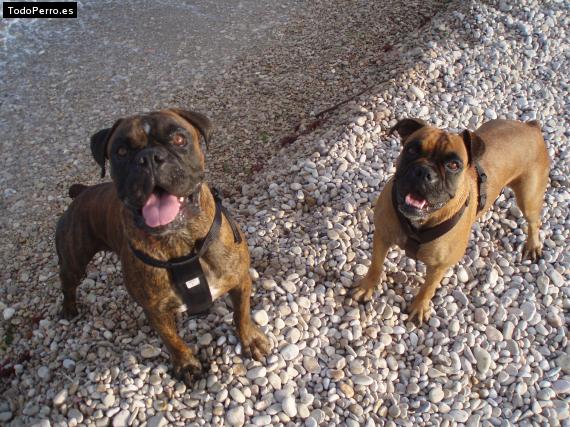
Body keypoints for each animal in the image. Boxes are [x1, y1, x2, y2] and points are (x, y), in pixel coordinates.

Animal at [56, 108, 270, 382]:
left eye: (179, 139)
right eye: (121, 152)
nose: (149, 158)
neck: (178, 240)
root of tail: (82, 192)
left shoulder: (239, 280)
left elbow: (241, 314)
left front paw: (250, 340)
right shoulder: (155, 311)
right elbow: (172, 341)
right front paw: (187, 364)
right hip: (74, 260)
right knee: (67, 281)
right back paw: (69, 308)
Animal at [352, 118, 548, 322]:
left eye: (454, 165)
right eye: (411, 150)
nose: (423, 171)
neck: (419, 223)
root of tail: (530, 127)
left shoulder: (439, 266)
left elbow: (428, 287)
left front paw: (419, 307)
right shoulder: (382, 237)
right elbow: (376, 265)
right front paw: (367, 287)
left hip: (529, 198)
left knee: (534, 222)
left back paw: (533, 245)